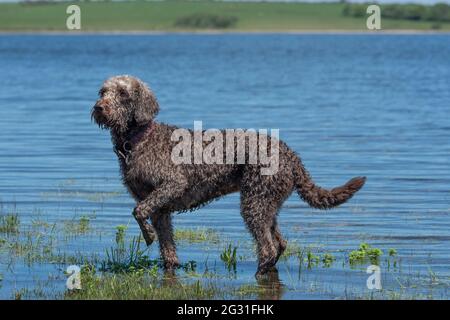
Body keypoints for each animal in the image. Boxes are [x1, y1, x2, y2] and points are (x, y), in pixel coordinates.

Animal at [91, 74, 366, 276]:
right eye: (102, 92)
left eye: (123, 94)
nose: (99, 108)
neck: (138, 139)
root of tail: (292, 156)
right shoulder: (161, 209)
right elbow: (167, 248)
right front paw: (168, 262)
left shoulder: (172, 185)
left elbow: (138, 211)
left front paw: (147, 235)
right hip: (267, 204)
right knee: (279, 244)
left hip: (254, 203)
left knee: (267, 248)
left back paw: (259, 274)